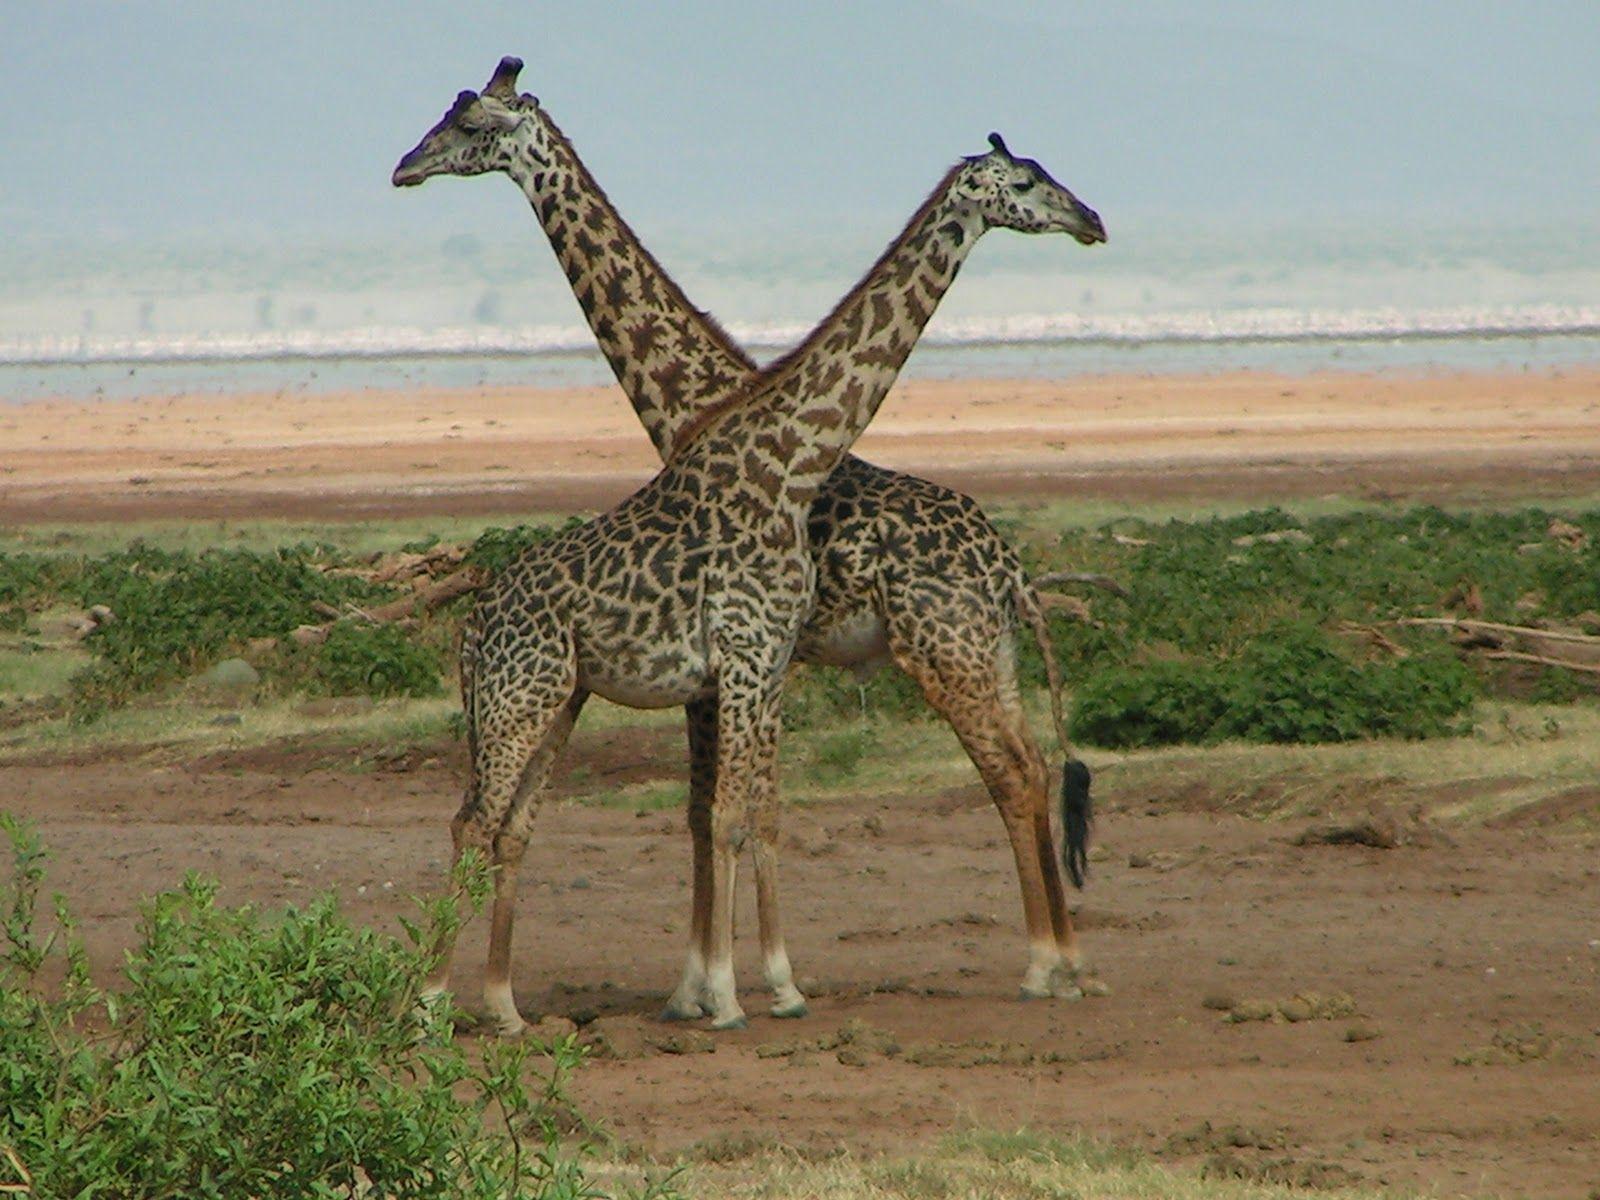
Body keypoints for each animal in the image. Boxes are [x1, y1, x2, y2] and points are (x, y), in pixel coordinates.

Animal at [393, 70, 1107, 1036]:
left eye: (465, 122)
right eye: (1027, 179)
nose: (405, 165)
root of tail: (1008, 565)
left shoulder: (751, 660)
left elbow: (734, 813)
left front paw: (727, 985)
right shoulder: (738, 663)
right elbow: (725, 814)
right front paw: (717, 986)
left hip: (950, 651)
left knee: (1016, 773)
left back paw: (1051, 965)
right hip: (964, 651)